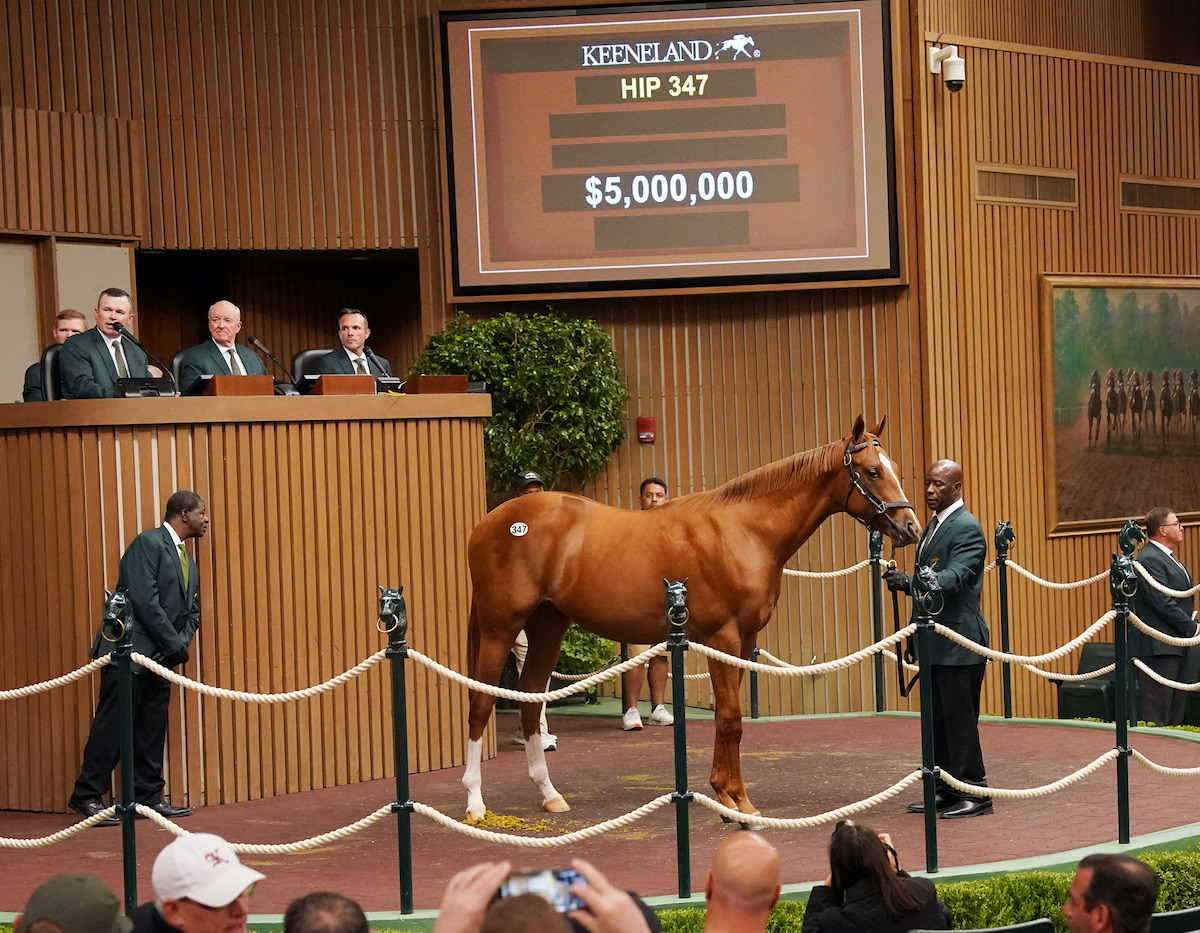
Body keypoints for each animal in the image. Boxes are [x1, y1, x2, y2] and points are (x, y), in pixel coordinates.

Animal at [458, 414, 916, 815]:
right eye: (872, 471)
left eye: (895, 468)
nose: (909, 526)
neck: (745, 530)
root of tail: (491, 521)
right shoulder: (722, 637)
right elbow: (731, 718)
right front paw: (735, 801)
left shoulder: (743, 642)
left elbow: (726, 718)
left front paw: (728, 795)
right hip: (500, 628)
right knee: (482, 700)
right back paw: (475, 802)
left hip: (548, 625)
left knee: (531, 700)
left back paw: (549, 795)